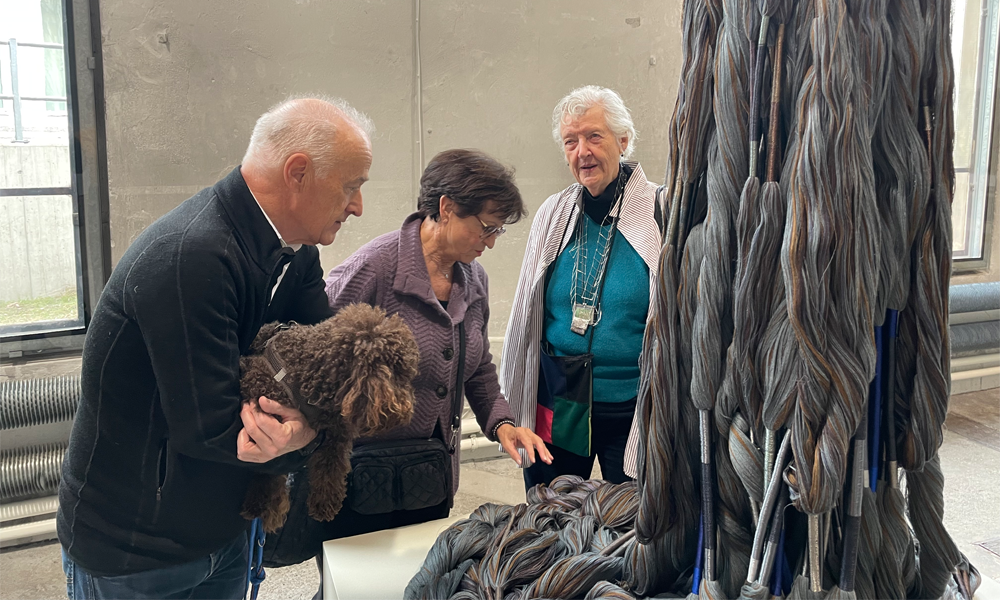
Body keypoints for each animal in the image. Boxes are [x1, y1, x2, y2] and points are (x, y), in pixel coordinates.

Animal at [239, 304, 418, 528]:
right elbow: (268, 469)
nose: (407, 411)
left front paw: (323, 505)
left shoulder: (335, 435)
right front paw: (264, 504)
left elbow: (329, 470)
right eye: (401, 375)